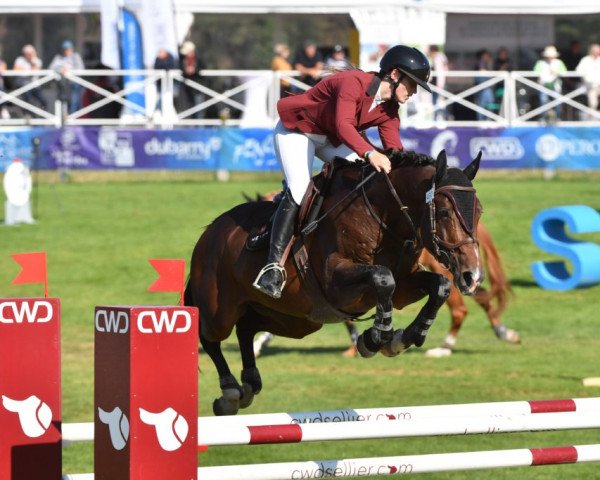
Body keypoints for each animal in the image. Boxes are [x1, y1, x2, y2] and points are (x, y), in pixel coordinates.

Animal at [185, 150, 486, 416]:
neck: (383, 216)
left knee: (247, 328)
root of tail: (210, 231)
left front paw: (403, 338)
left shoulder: (404, 286)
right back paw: (229, 393)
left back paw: (249, 382)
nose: (472, 276)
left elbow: (439, 286)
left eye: (479, 211)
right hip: (220, 311)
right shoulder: (336, 281)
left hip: (294, 320)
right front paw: (376, 338)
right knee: (209, 337)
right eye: (444, 212)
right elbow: (382, 278)